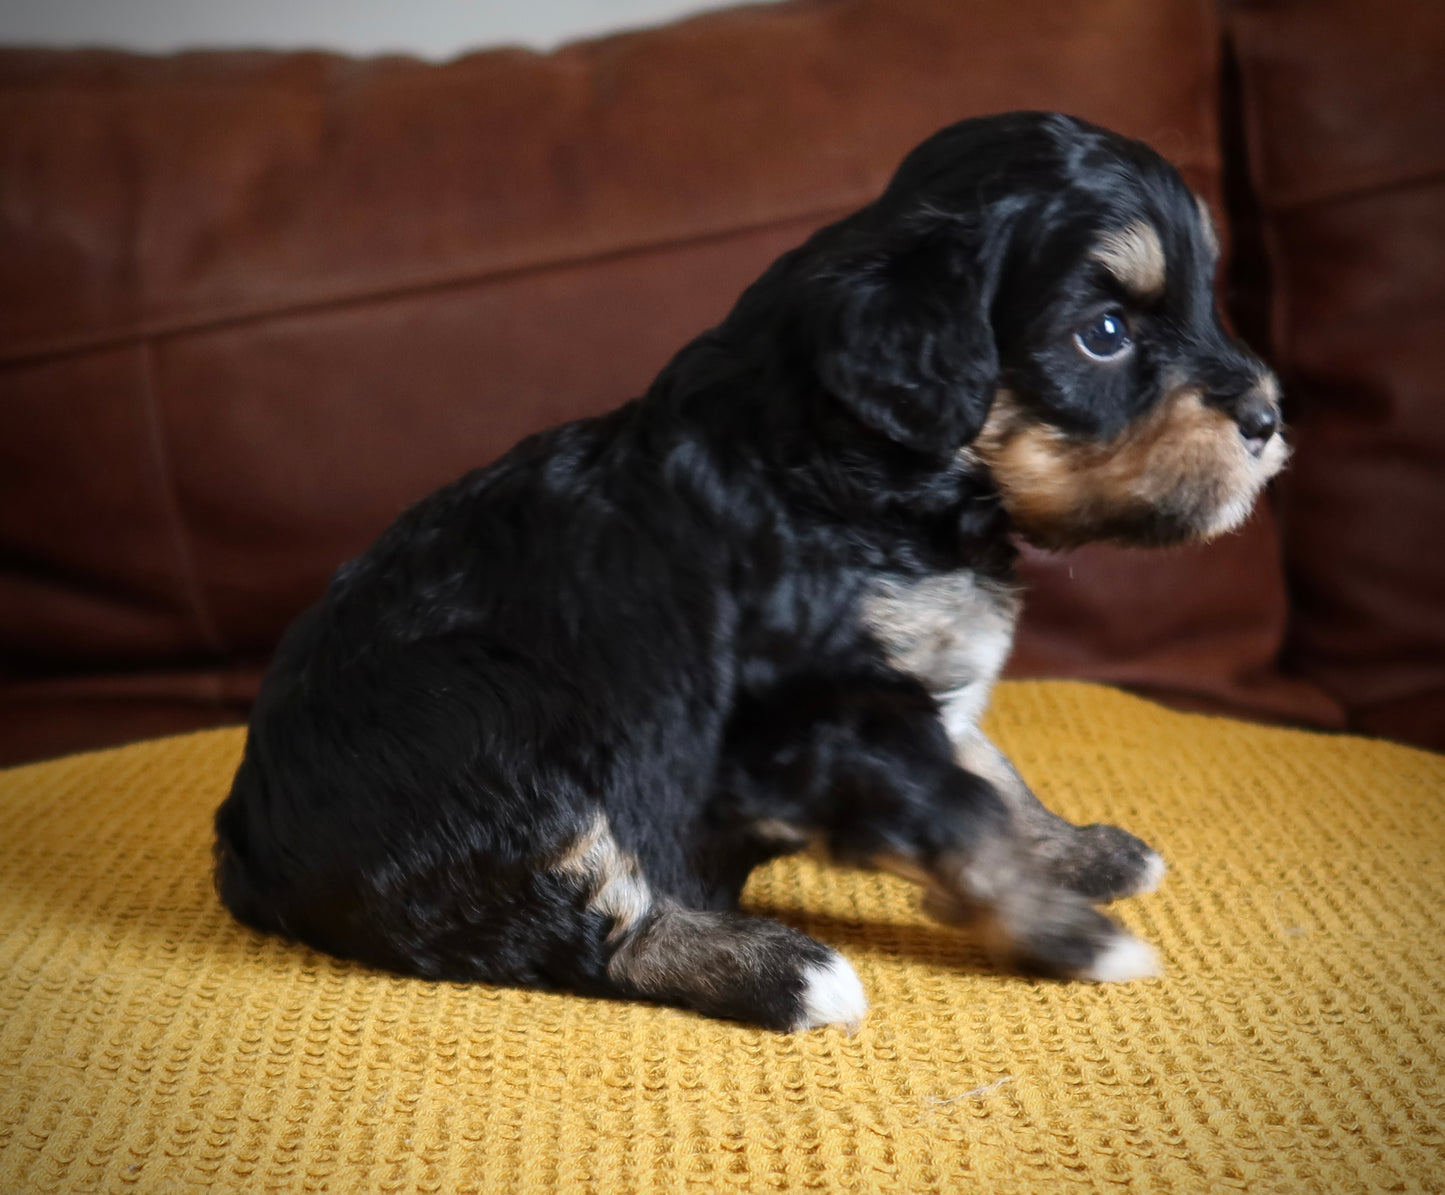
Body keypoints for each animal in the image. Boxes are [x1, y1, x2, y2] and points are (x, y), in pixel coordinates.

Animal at [213, 109, 1288, 1028]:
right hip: (493, 726)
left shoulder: (920, 686)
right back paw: (786, 968)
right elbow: (958, 812)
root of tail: (246, 843)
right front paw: (1066, 932)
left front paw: (1074, 851)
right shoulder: (820, 710)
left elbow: (989, 771)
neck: (876, 479)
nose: (1269, 417)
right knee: (589, 937)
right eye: (1102, 336)